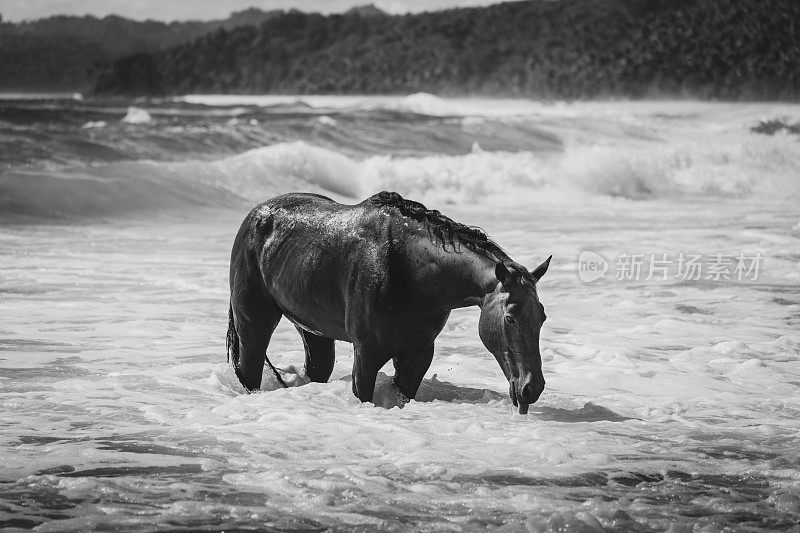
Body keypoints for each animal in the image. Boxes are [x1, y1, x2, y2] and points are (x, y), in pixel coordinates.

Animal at [225, 189, 552, 414]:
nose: (531, 388)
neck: (411, 270)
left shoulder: (419, 353)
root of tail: (254, 215)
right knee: (250, 367)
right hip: (254, 322)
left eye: (542, 318)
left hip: (312, 330)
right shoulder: (367, 353)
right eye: (510, 317)